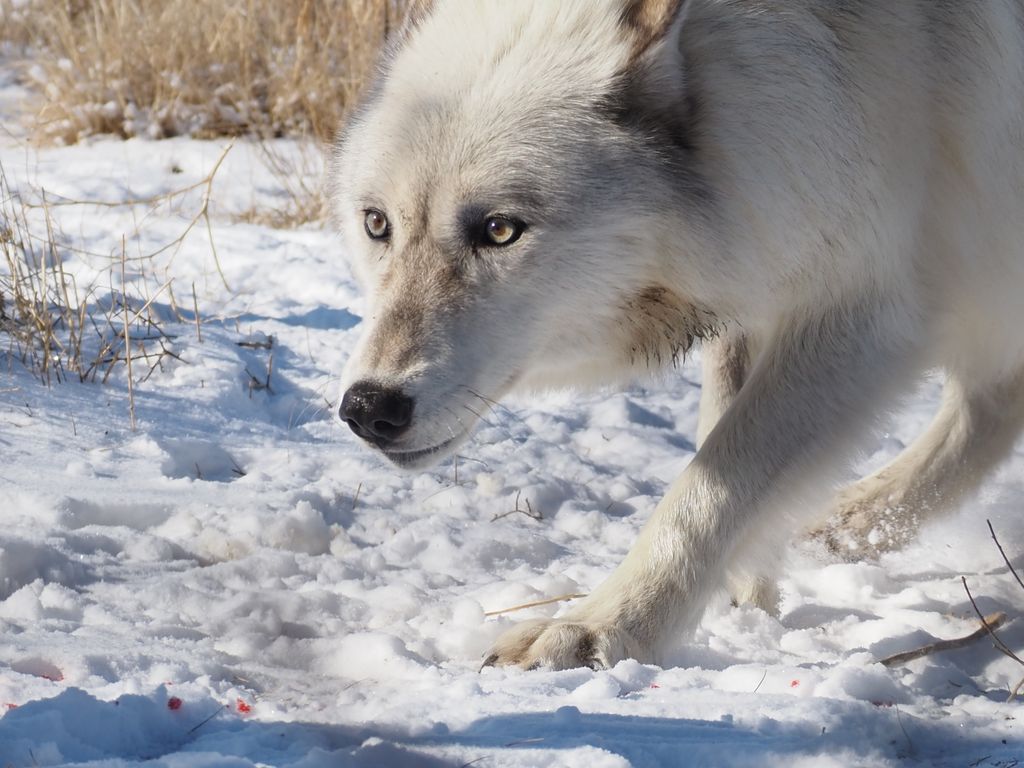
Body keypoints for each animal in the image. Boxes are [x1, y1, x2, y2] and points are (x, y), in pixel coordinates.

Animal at [331, 0, 1024, 670]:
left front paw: (601, 626)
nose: (367, 408)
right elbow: (717, 437)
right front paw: (748, 584)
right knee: (987, 408)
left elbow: (717, 480)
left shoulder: (861, 312)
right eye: (377, 224)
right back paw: (841, 527)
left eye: (500, 230)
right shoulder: (761, 276)